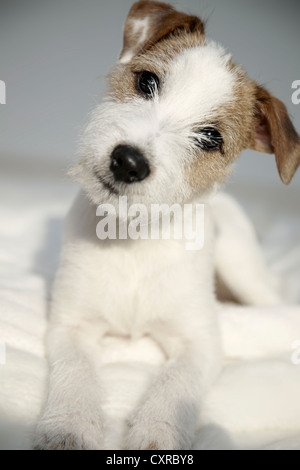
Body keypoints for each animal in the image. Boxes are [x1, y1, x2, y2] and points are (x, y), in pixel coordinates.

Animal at [34, 0, 298, 450]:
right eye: (147, 81)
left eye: (210, 138)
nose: (128, 162)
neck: (132, 240)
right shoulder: (71, 324)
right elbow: (75, 371)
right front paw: (70, 425)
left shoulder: (200, 341)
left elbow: (175, 386)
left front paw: (157, 431)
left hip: (244, 272)